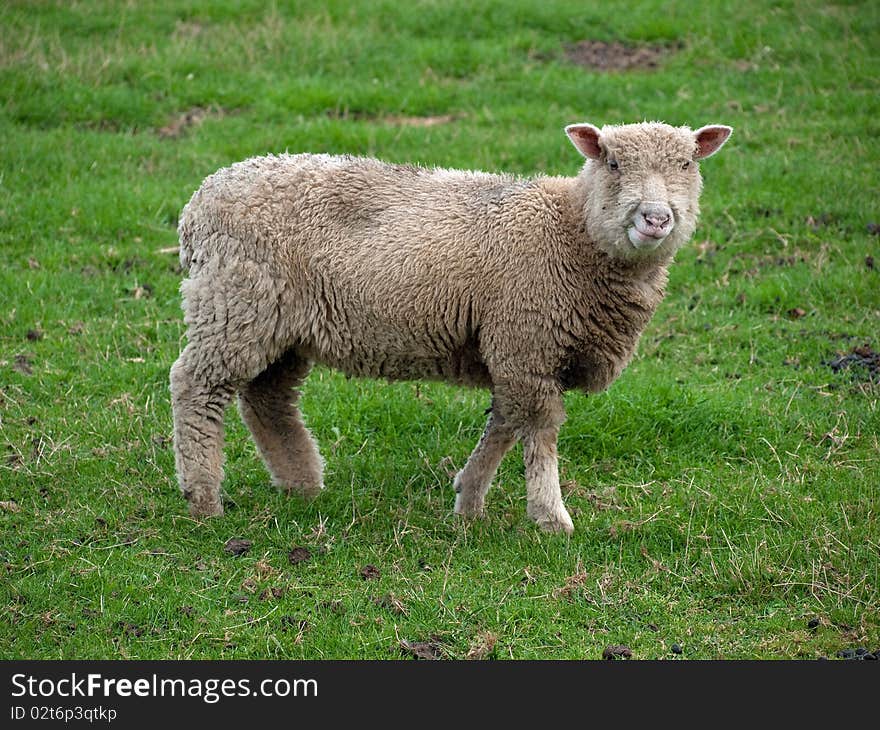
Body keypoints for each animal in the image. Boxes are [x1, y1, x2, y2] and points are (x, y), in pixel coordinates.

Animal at [170, 118, 728, 528]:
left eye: (687, 163)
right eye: (612, 162)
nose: (655, 219)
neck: (571, 232)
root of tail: (201, 199)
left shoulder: (514, 347)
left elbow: (504, 422)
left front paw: (469, 498)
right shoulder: (525, 339)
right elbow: (537, 428)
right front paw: (550, 516)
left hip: (281, 324)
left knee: (268, 399)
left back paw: (301, 484)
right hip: (236, 304)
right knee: (195, 386)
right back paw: (204, 499)